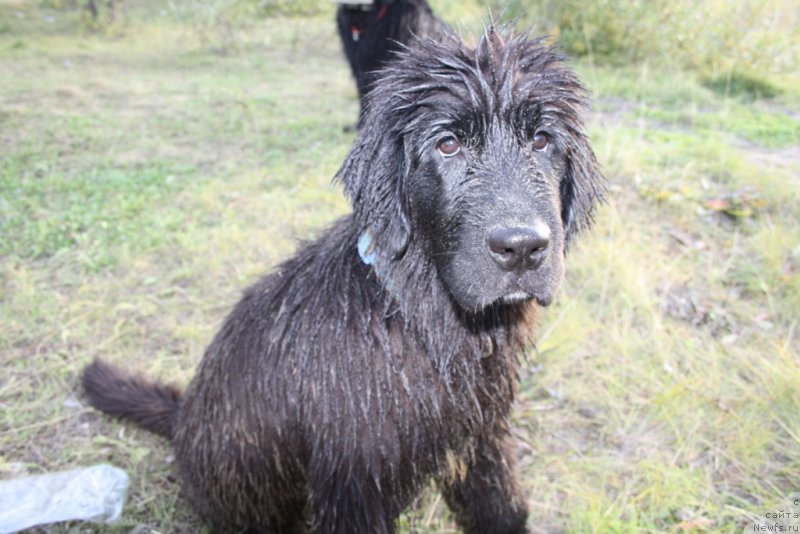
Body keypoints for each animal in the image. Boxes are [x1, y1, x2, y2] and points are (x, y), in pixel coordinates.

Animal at [83, 28, 608, 534]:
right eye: (448, 144)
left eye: (541, 140)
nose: (522, 247)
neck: (422, 320)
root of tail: (181, 418)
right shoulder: (354, 483)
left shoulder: (483, 435)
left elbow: (502, 508)